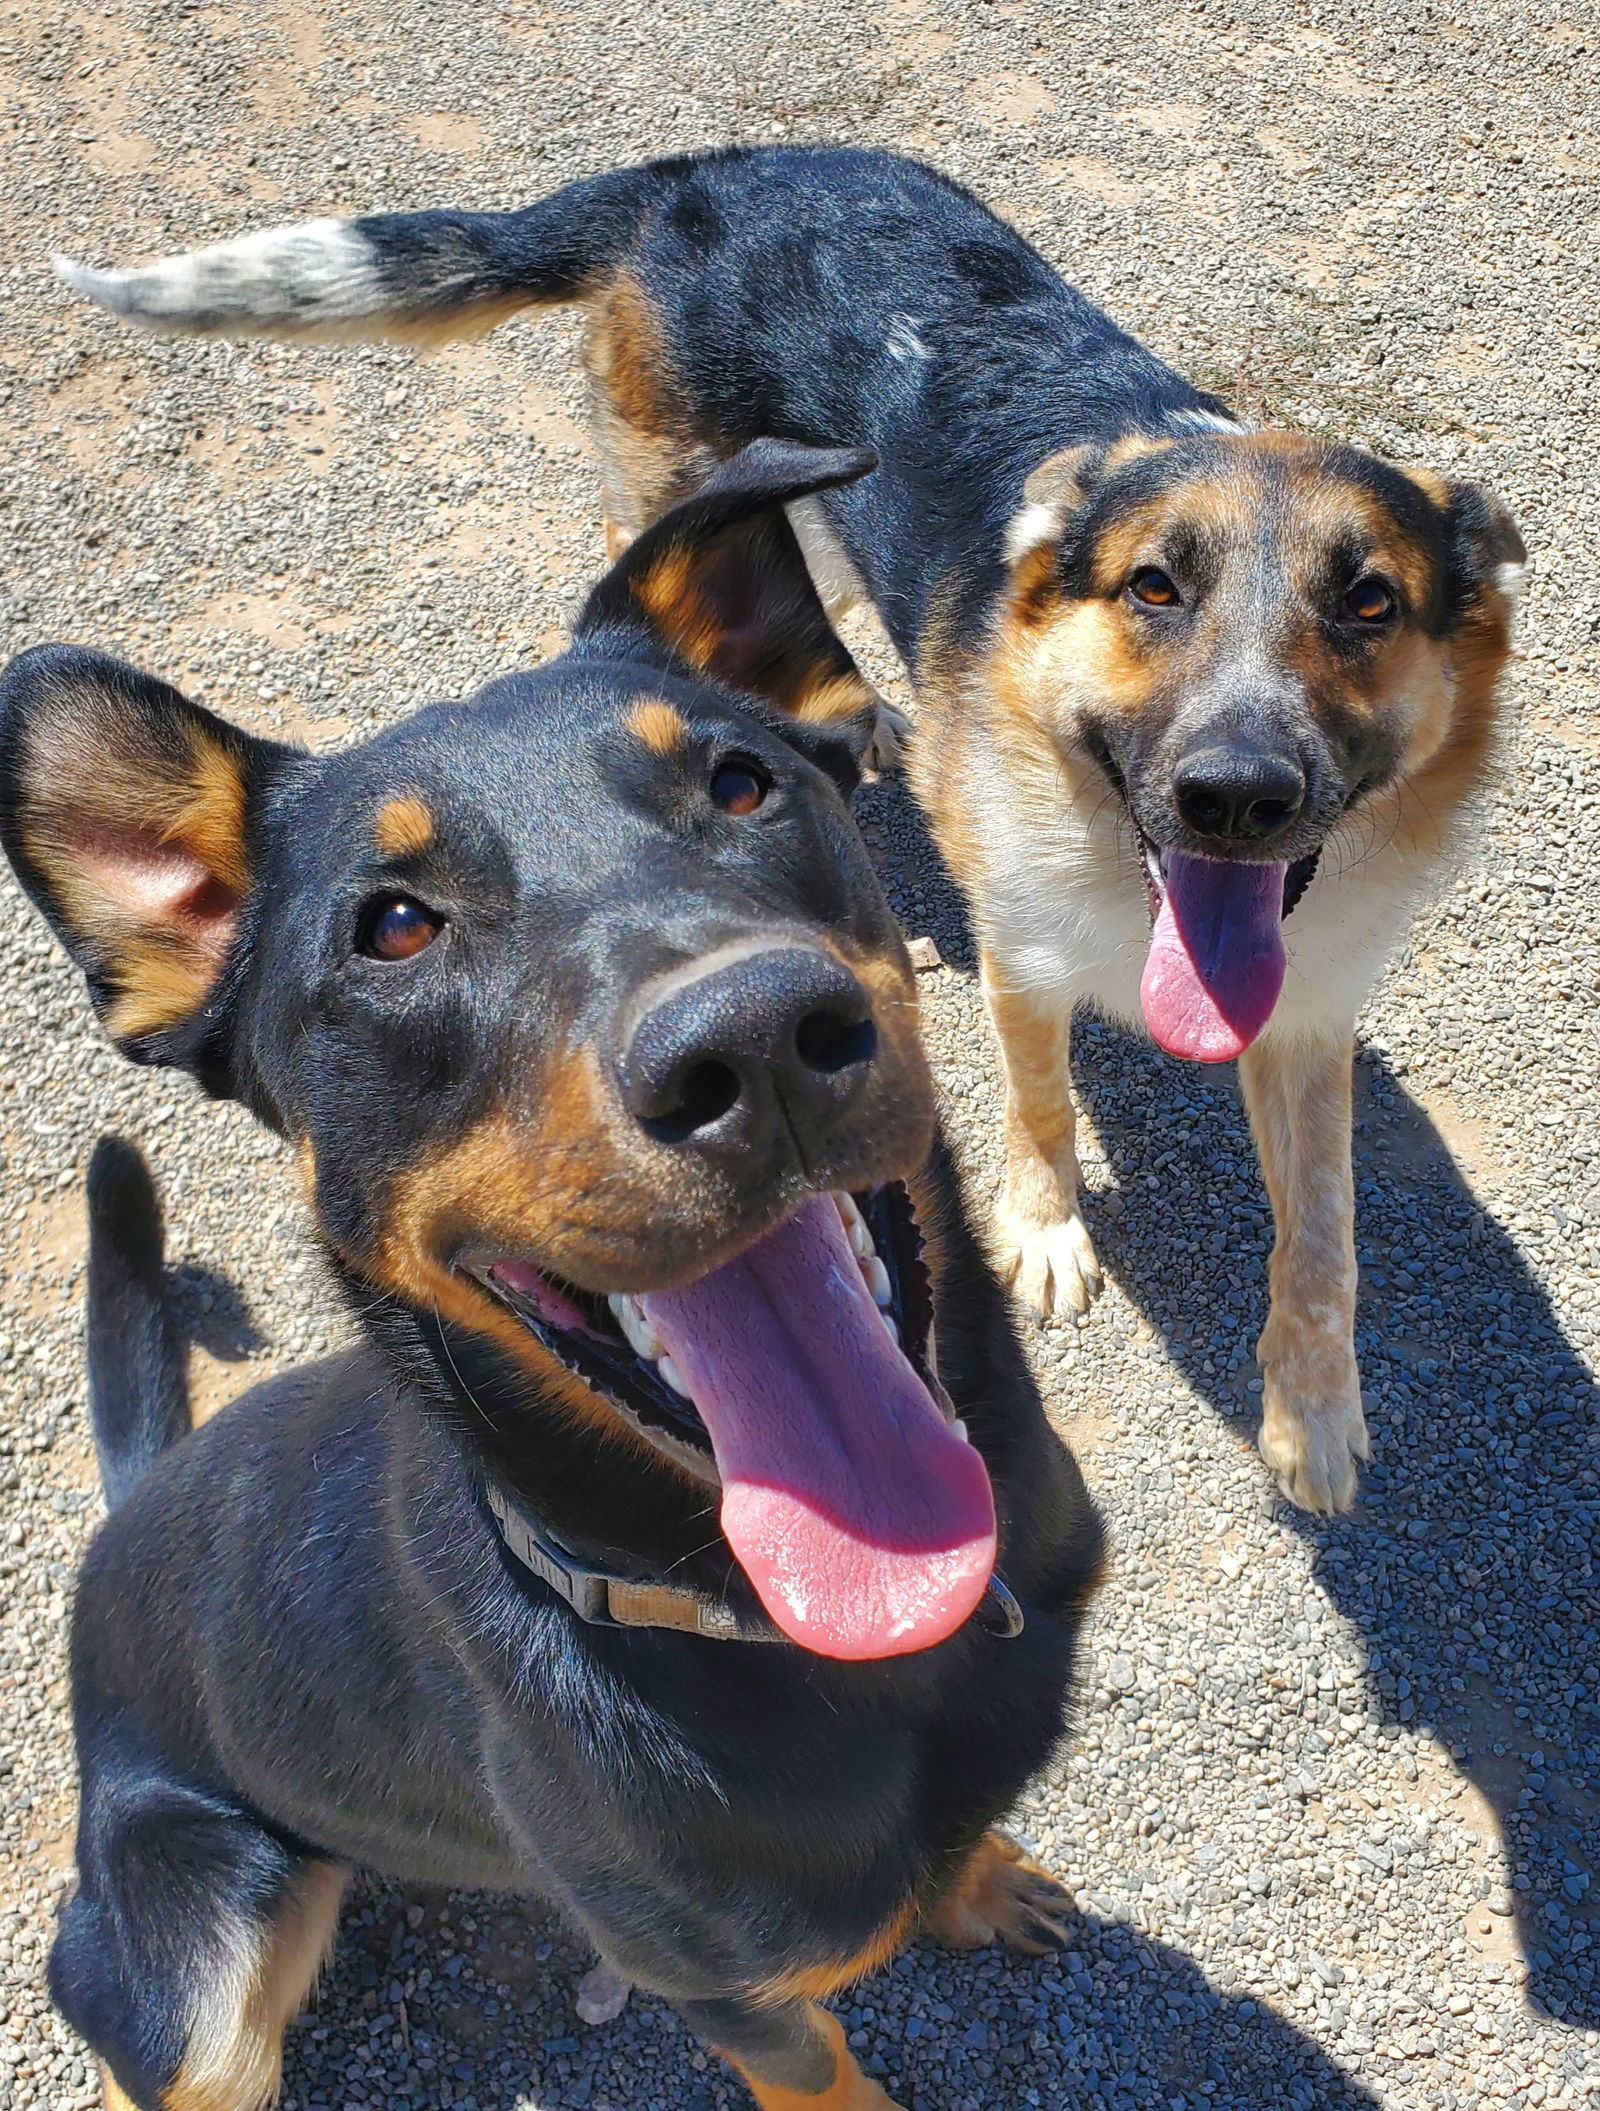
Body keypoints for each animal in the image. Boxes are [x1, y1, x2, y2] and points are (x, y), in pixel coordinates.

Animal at [0, 436, 1106, 2102]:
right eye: (393, 926)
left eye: (743, 780)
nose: (754, 1042)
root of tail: (122, 1522)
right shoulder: (733, 1989)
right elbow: (825, 2064)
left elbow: (965, 1839)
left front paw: (984, 1882)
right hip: (199, 1960)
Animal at [56, 144, 1536, 1519]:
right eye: (1154, 588)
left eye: (1368, 603)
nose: (1236, 793)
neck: (1121, 866)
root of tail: (698, 170)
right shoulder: (1024, 961)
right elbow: (1042, 1104)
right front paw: (1048, 1232)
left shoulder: (1306, 1014)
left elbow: (1324, 1237)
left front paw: (1313, 1410)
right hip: (688, 491)